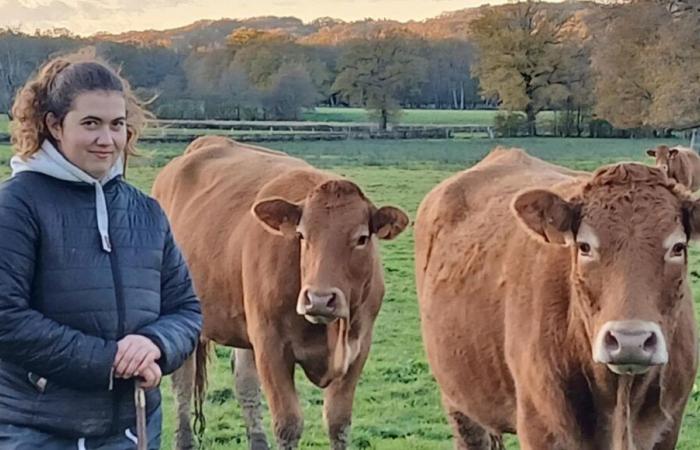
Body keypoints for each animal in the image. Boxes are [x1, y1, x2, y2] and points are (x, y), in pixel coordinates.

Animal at [150, 135, 408, 448]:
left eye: (361, 238)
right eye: (302, 235)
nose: (319, 299)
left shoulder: (357, 350)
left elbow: (338, 423)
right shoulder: (271, 346)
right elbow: (288, 424)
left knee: (245, 384)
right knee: (183, 385)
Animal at [412, 149, 696, 450]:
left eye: (678, 247)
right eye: (584, 246)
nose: (631, 341)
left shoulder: (667, 428)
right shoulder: (541, 428)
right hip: (459, 401)